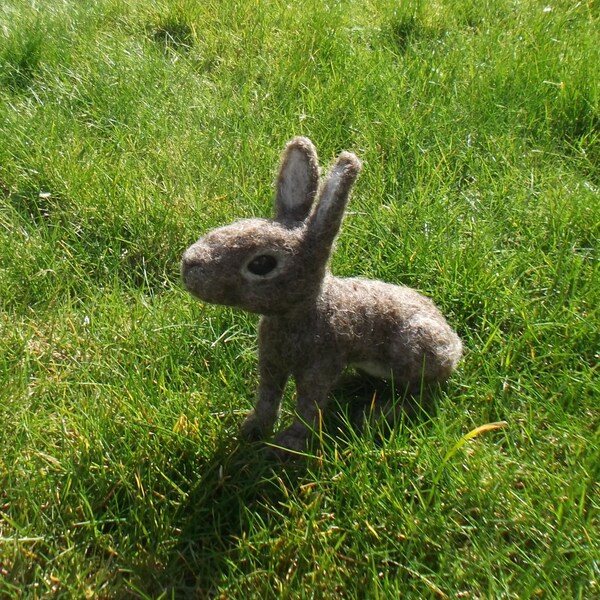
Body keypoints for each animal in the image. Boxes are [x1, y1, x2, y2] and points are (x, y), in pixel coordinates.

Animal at [180, 137, 462, 454]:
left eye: (262, 264)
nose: (189, 264)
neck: (306, 310)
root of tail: (455, 347)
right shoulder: (271, 362)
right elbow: (268, 396)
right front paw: (253, 429)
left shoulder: (320, 364)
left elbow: (308, 404)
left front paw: (290, 443)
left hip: (417, 347)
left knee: (420, 395)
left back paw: (377, 415)